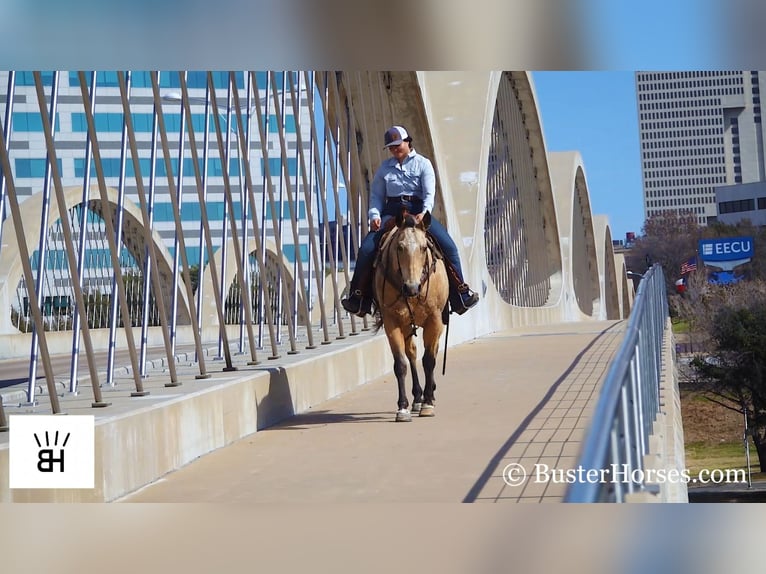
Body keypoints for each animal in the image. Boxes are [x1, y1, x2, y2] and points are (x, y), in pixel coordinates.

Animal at [376, 212, 452, 424]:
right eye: (399, 247)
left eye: (424, 248)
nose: (411, 287)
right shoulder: (391, 321)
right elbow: (401, 363)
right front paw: (403, 408)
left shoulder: (434, 319)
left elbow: (429, 360)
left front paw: (428, 403)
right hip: (406, 325)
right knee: (411, 353)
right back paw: (417, 397)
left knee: (432, 351)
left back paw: (428, 394)